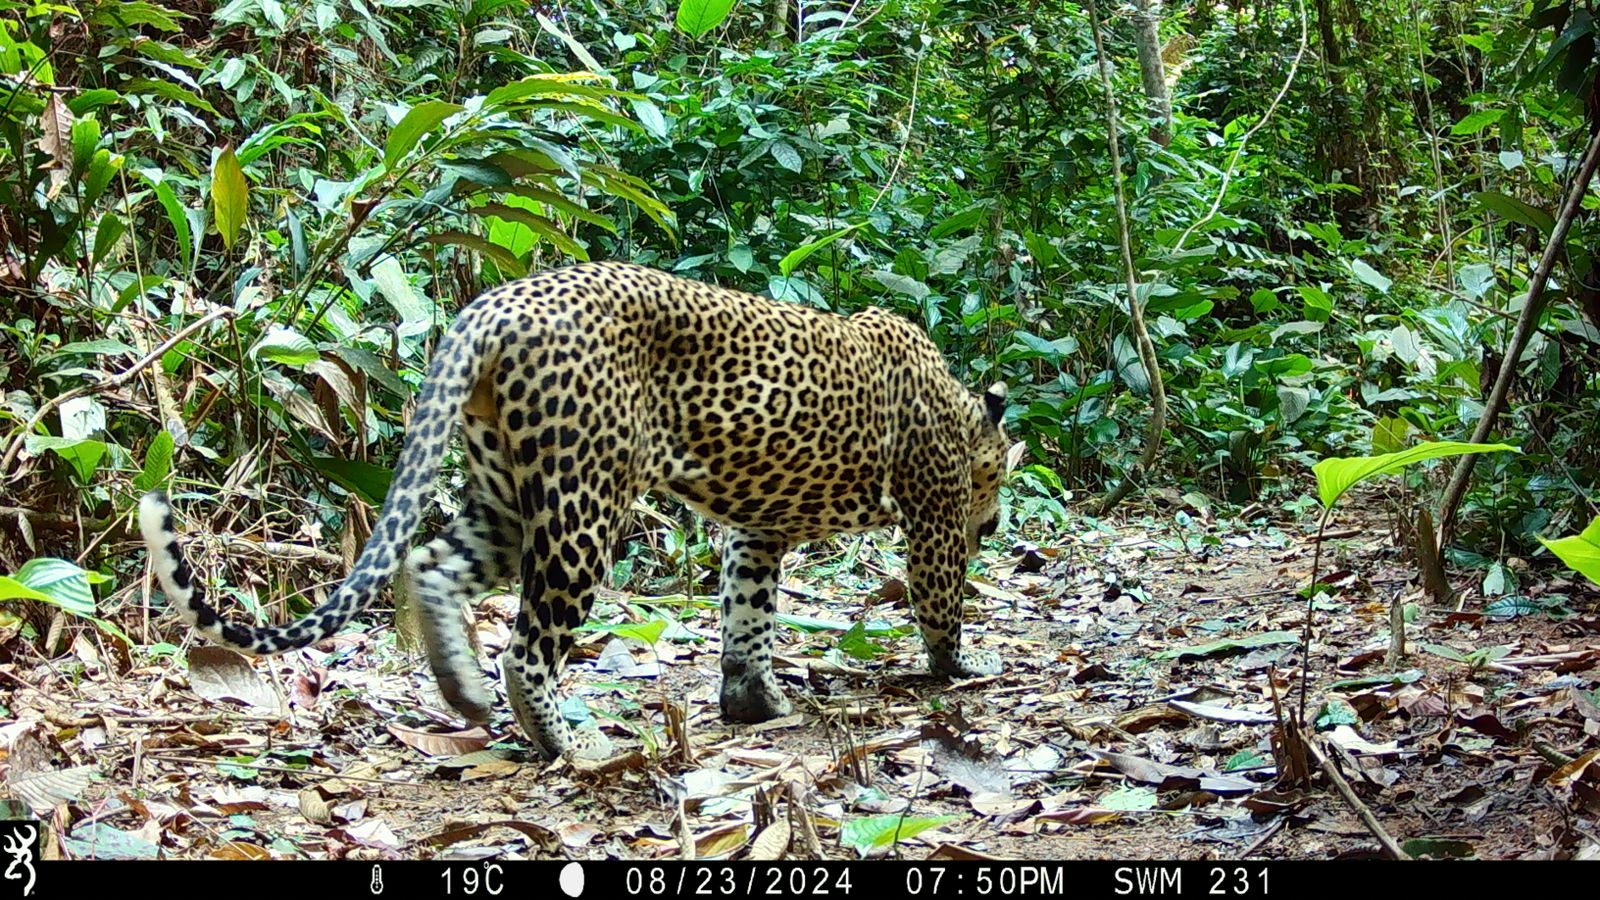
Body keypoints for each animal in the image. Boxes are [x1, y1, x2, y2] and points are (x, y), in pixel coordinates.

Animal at [139, 261, 1016, 760]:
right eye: (998, 483)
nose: (999, 524)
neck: (961, 406)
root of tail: (492, 304)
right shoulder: (933, 516)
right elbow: (940, 597)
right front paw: (960, 668)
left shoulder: (758, 529)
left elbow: (748, 613)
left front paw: (752, 700)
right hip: (583, 501)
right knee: (528, 647)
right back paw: (565, 741)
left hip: (506, 488)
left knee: (432, 563)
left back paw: (463, 691)